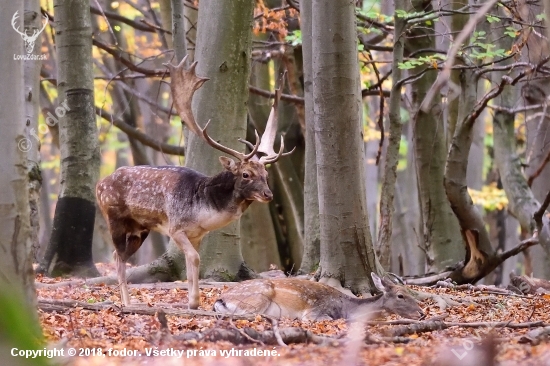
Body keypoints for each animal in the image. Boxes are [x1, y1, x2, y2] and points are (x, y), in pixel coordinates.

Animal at [96, 57, 294, 308]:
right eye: (246, 174)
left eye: (266, 175)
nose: (268, 194)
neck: (202, 210)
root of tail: (99, 184)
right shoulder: (175, 227)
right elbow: (194, 258)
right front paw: (193, 301)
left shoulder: (198, 235)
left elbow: (193, 263)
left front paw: (193, 299)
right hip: (115, 218)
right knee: (118, 256)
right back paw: (127, 303)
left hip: (139, 229)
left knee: (118, 255)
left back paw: (128, 301)